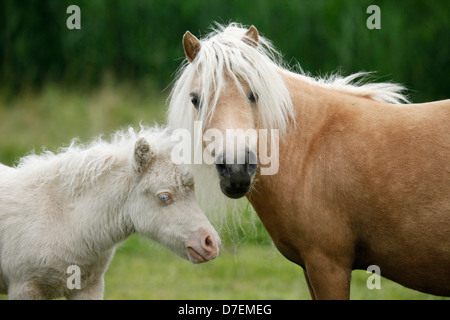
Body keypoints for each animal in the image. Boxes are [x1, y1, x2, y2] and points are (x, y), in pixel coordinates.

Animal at [169, 23, 450, 300]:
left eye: (254, 95)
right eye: (195, 100)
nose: (236, 169)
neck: (311, 146)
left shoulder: (328, 265)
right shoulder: (310, 267)